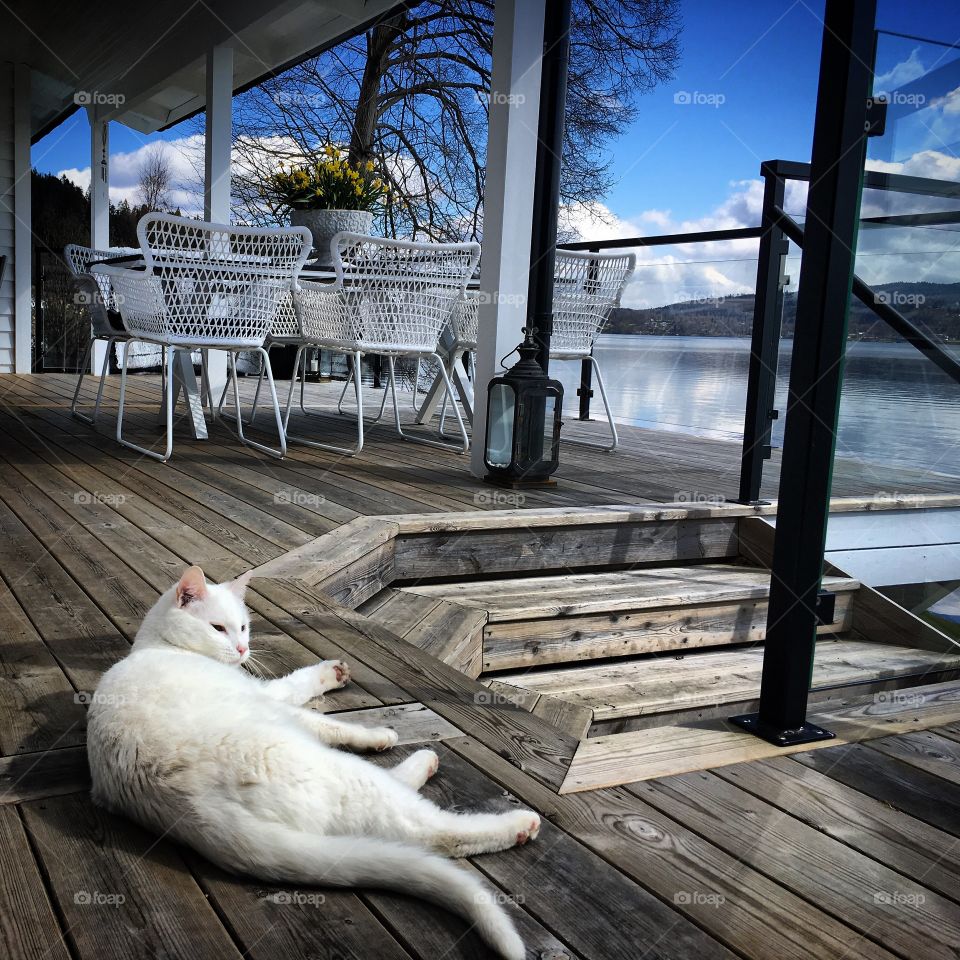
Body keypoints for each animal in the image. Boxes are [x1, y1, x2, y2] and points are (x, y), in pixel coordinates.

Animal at [88, 568, 540, 956]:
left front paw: (333, 674)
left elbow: (300, 687)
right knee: (431, 830)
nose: (242, 649)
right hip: (338, 771)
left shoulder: (269, 694)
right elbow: (321, 715)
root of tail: (192, 809)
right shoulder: (267, 700)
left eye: (244, 627)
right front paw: (377, 733)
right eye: (218, 628)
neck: (160, 643)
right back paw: (510, 819)